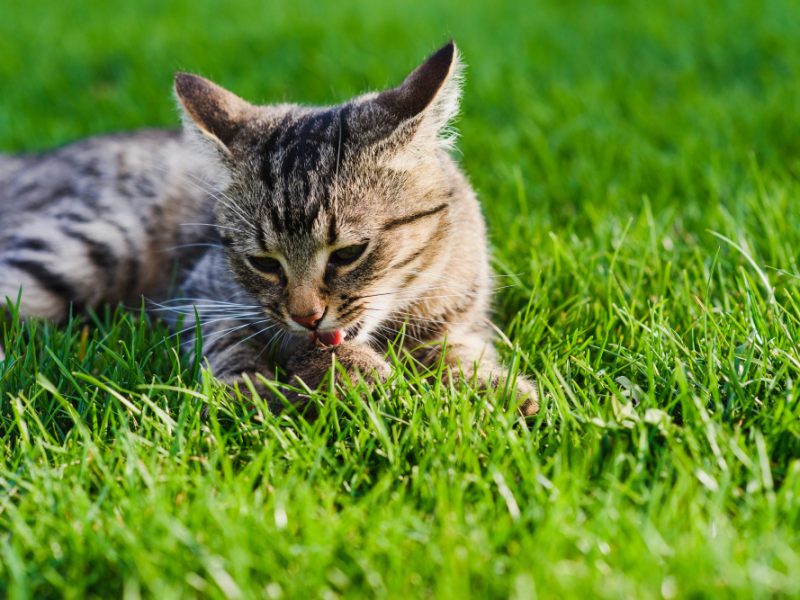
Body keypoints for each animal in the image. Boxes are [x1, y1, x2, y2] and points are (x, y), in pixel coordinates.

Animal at [0, 42, 540, 418]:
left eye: (349, 253)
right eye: (263, 262)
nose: (307, 315)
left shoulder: (462, 317)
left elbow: (460, 353)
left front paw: (500, 391)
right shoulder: (203, 299)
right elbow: (236, 346)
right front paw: (283, 388)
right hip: (82, 246)